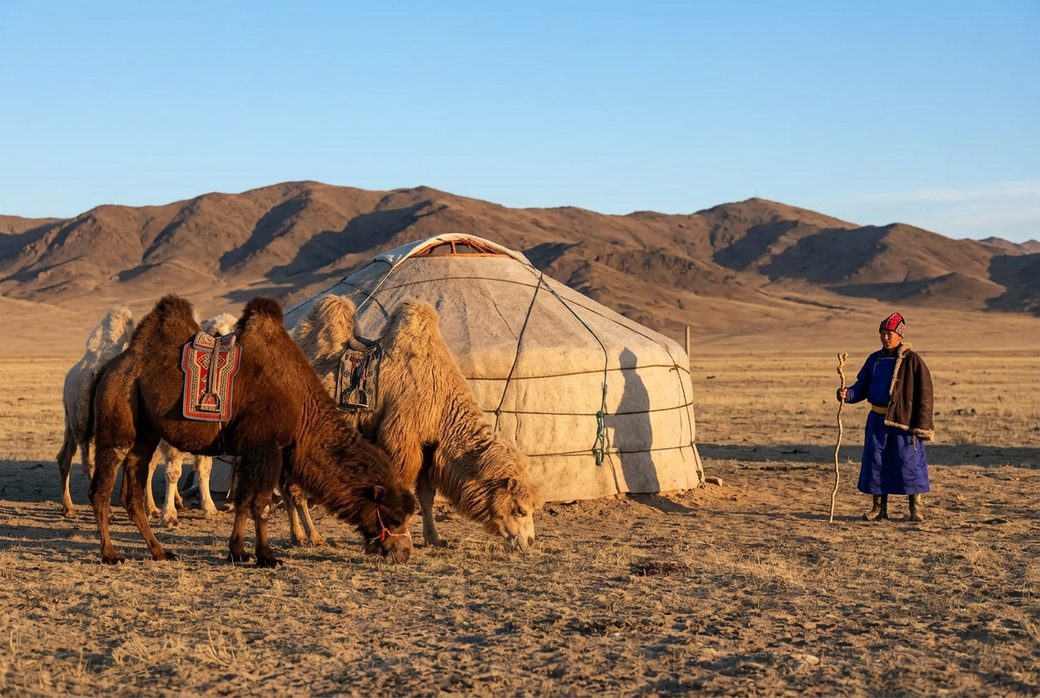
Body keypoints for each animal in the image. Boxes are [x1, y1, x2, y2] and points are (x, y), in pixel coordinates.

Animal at [89, 294, 417, 567]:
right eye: (392, 517)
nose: (404, 551)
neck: (301, 406)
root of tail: (108, 368)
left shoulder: (252, 450)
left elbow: (244, 502)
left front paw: (238, 552)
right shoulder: (265, 447)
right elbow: (260, 503)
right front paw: (267, 556)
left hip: (144, 434)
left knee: (133, 491)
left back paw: (160, 551)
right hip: (117, 419)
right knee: (101, 490)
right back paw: (110, 554)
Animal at [293, 295, 538, 551]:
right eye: (520, 510)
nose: (529, 541)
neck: (442, 404)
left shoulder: (428, 446)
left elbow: (427, 495)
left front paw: (434, 538)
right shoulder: (402, 441)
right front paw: (403, 538)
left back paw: (297, 536)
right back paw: (313, 537)